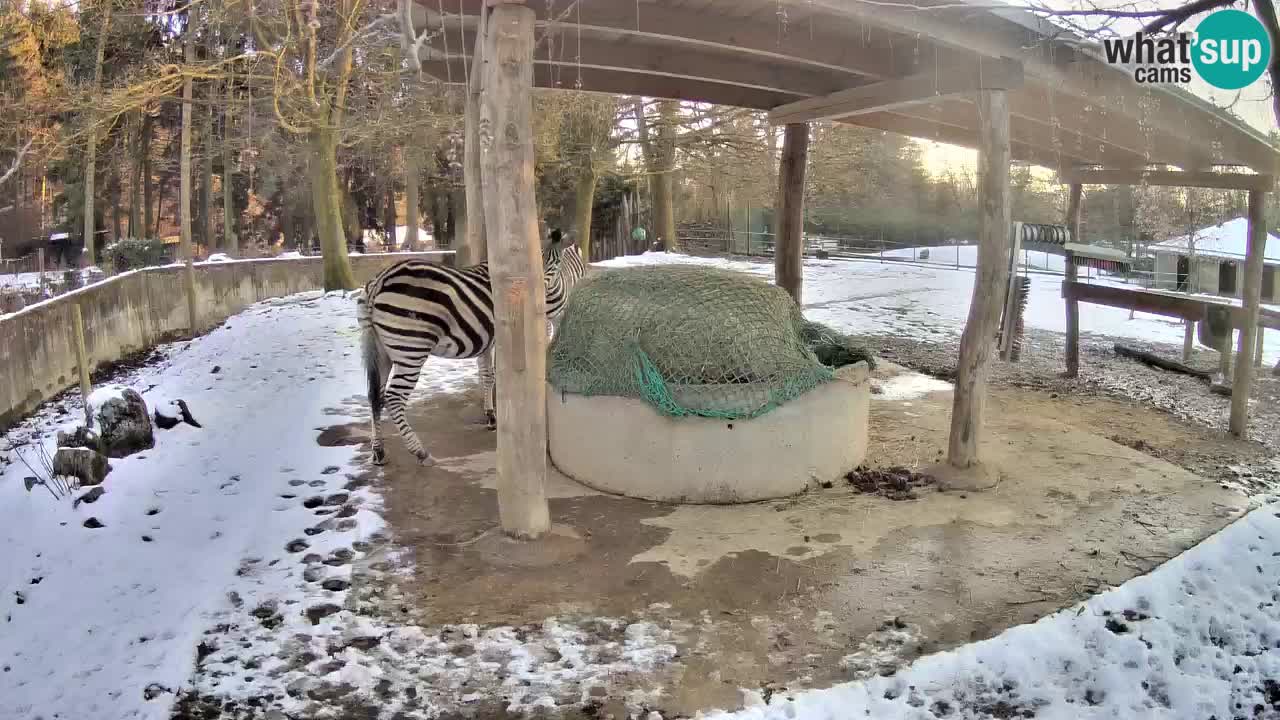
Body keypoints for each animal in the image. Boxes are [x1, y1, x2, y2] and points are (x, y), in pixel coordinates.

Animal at [360, 229, 588, 466]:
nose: (533, 299)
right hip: (411, 348)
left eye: (555, 265)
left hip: (381, 350)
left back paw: (378, 451)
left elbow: (488, 375)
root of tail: (380, 280)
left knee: (374, 395)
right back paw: (420, 452)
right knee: (393, 398)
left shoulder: (488, 339)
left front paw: (491, 415)